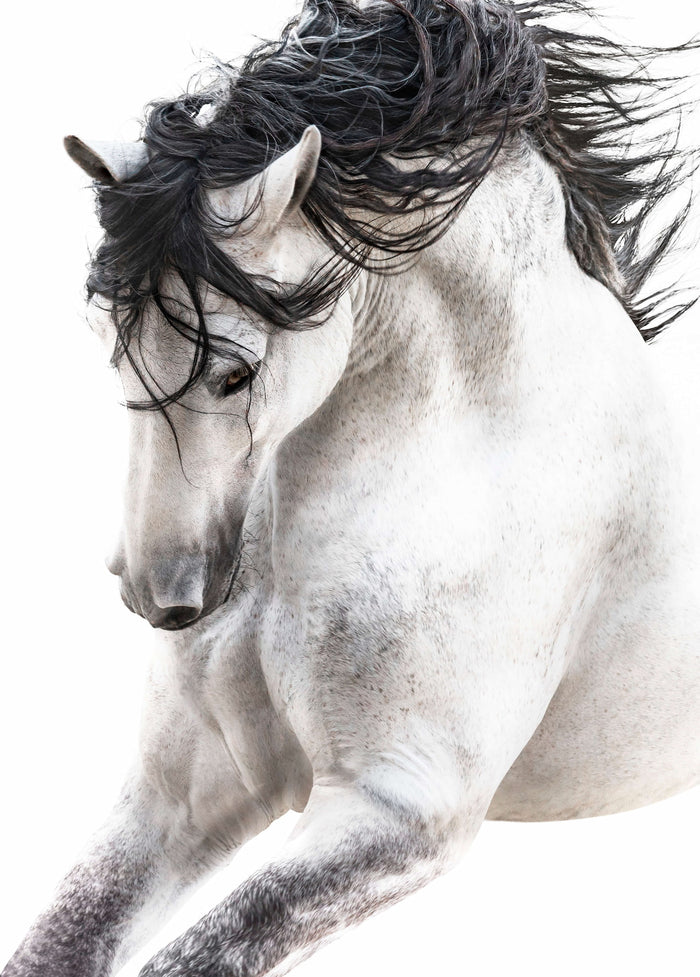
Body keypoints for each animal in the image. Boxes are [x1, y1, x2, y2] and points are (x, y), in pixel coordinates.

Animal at [4, 0, 700, 974]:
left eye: (234, 371)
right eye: (111, 339)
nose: (159, 593)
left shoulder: (394, 806)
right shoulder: (185, 788)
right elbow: (59, 941)